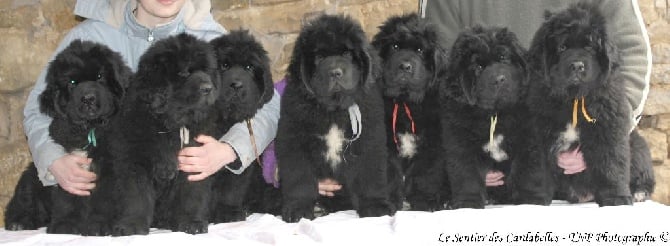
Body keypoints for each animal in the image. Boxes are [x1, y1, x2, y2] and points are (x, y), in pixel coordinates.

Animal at [4, 40, 133, 234]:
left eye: (100, 77)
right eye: (72, 82)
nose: (88, 98)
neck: (89, 129)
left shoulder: (109, 169)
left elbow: (104, 200)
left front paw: (100, 226)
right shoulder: (67, 168)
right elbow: (66, 200)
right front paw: (65, 226)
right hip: (31, 177)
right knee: (23, 202)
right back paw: (19, 222)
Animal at [276, 14, 396, 222]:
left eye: (347, 54)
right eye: (319, 57)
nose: (335, 72)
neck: (333, 110)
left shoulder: (370, 141)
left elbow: (370, 177)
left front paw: (375, 206)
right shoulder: (294, 141)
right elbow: (299, 178)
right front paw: (298, 209)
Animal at [372, 12, 452, 210]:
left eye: (420, 50)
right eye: (395, 46)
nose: (405, 66)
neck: (405, 102)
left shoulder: (432, 144)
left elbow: (425, 175)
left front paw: (424, 201)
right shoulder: (386, 145)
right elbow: (390, 174)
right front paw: (391, 202)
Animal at [440, 26, 532, 208]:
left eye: (504, 58)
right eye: (478, 67)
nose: (500, 79)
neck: (494, 114)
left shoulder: (526, 140)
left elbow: (525, 171)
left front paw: (528, 200)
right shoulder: (460, 144)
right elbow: (467, 175)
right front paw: (468, 203)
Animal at [520, 2, 656, 206]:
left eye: (590, 47)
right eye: (562, 47)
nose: (577, 66)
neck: (573, 98)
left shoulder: (609, 127)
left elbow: (611, 163)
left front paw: (616, 198)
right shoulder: (538, 131)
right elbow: (538, 169)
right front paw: (535, 198)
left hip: (637, 145)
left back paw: (639, 192)